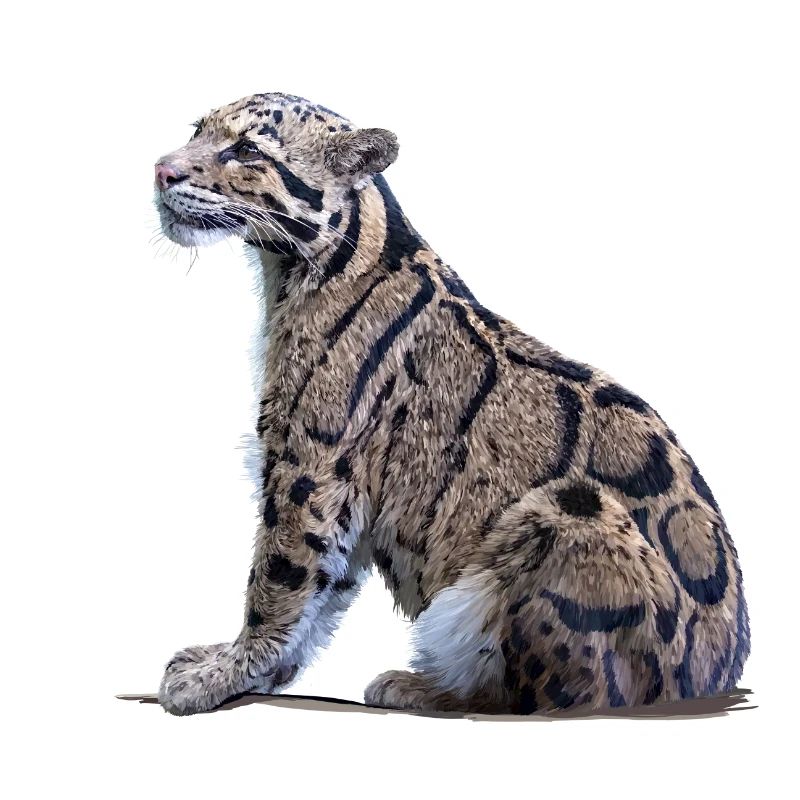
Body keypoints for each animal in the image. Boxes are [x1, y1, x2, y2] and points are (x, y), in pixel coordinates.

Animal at [153, 91, 749, 715]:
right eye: (197, 129)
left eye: (247, 150)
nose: (161, 171)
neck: (288, 274)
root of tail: (717, 674)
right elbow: (323, 589)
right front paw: (256, 670)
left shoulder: (309, 464)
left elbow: (281, 578)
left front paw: (224, 672)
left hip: (571, 511)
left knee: (557, 696)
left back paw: (425, 685)